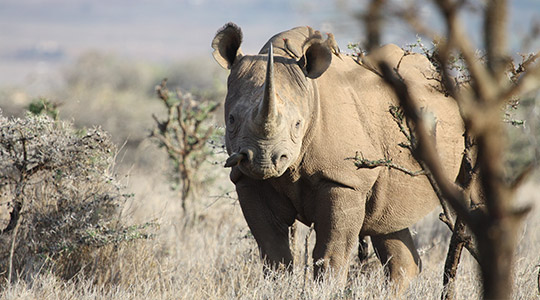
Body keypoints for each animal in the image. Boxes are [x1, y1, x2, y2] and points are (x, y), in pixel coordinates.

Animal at [212, 22, 464, 284]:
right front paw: (277, 285)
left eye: (298, 124)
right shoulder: (249, 179)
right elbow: (274, 251)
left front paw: (325, 287)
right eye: (231, 120)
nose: (264, 160)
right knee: (389, 223)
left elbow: (332, 253)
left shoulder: (345, 179)